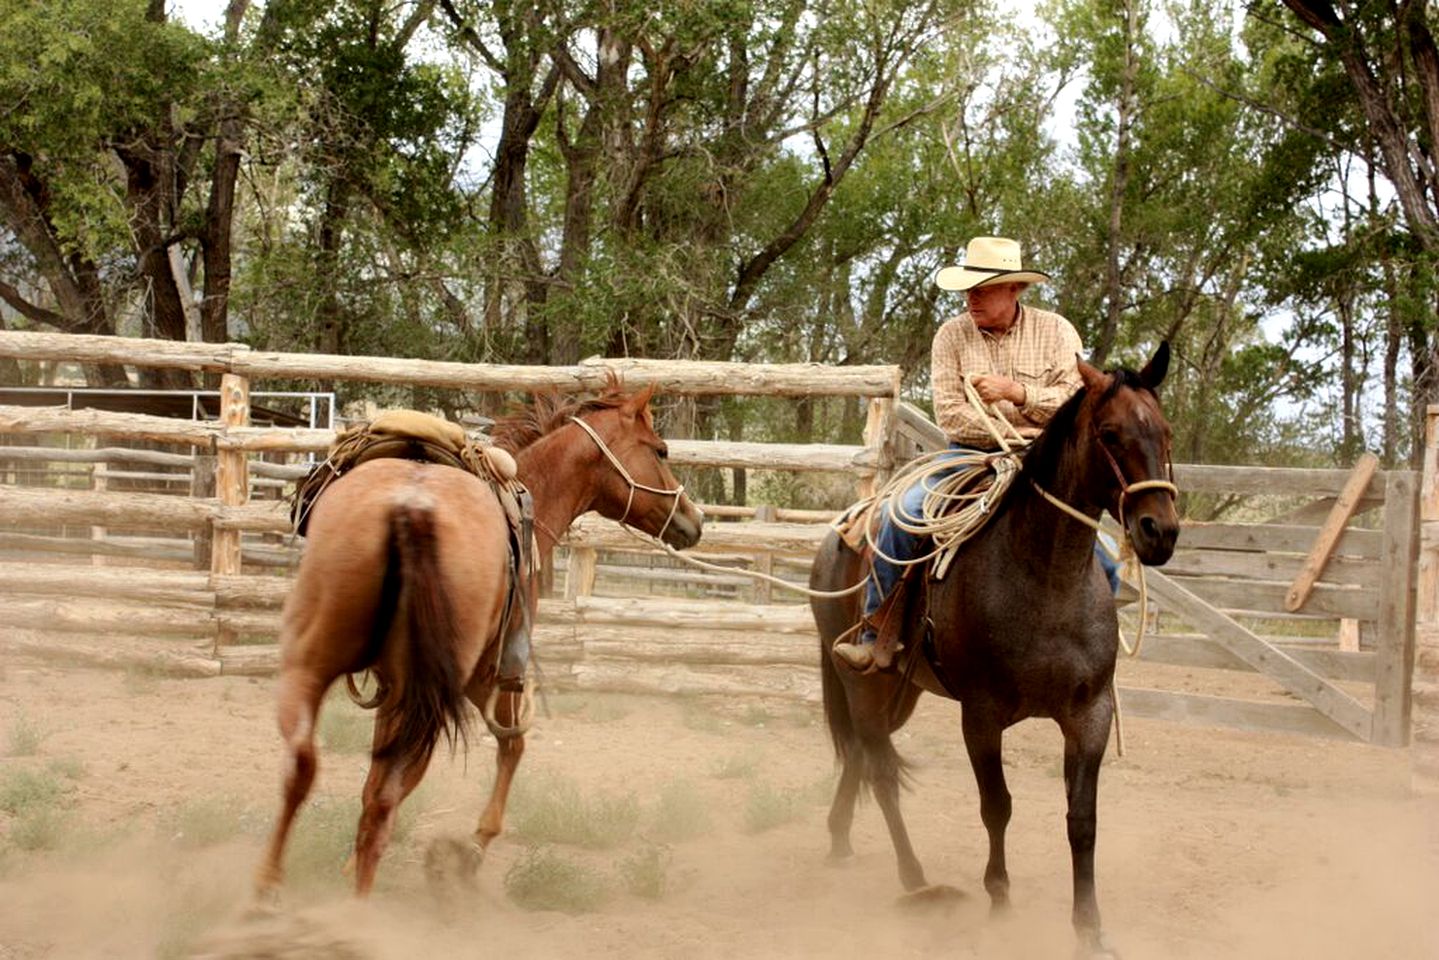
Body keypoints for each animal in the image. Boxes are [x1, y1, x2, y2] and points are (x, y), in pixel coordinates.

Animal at [259, 382, 707, 903]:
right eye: (661, 450)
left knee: (305, 767)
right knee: (387, 793)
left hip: (313, 660)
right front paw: (474, 846)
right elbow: (512, 746)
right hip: (425, 686)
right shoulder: (489, 674)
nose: (694, 520)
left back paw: (269, 887)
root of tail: (412, 507)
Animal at [811, 343, 1179, 955]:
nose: (1160, 531)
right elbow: (997, 807)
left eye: (1165, 432)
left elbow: (1082, 819)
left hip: (901, 691)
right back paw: (913, 877)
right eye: (1108, 433)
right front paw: (1000, 903)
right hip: (862, 681)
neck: (1045, 578)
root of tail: (837, 535)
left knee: (863, 753)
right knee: (881, 771)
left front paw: (1089, 928)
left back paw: (839, 839)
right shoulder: (981, 716)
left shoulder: (1091, 713)